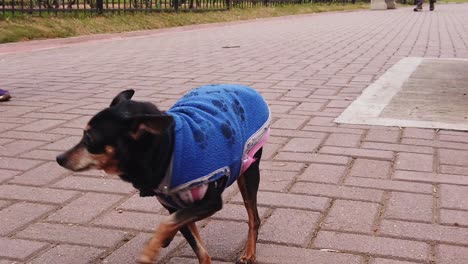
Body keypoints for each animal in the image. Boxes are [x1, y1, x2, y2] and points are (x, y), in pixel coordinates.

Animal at [56, 84, 272, 264]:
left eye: (89, 139)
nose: (59, 158)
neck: (169, 148)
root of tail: (245, 88)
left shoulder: (210, 202)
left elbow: (169, 222)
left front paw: (150, 251)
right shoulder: (173, 205)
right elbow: (194, 242)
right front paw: (165, 242)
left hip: (248, 170)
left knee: (254, 217)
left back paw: (249, 253)